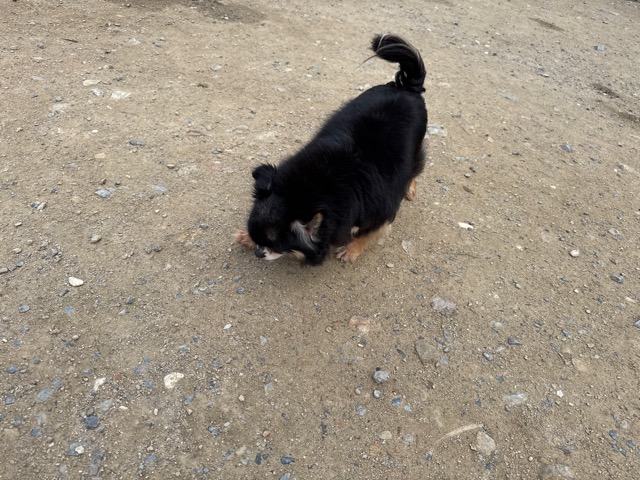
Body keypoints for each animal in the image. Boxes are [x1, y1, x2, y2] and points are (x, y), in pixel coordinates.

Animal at [235, 34, 427, 265]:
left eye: (276, 247)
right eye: (258, 240)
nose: (258, 252)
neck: (310, 188)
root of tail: (406, 86)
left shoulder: (380, 213)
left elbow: (368, 234)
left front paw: (351, 250)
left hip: (415, 148)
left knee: (415, 169)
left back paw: (409, 187)